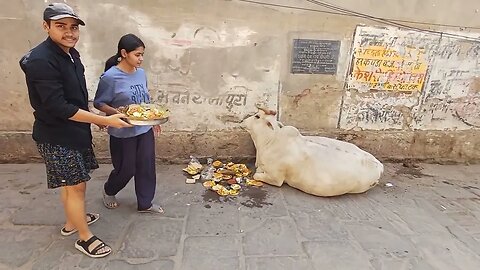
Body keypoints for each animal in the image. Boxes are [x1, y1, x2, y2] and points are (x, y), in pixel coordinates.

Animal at [242, 107, 384, 196]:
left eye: (257, 116)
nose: (242, 121)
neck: (270, 141)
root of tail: (379, 165)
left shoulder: (276, 178)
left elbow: (256, 175)